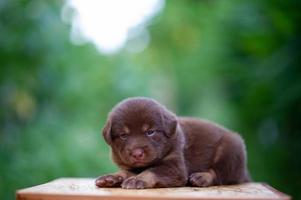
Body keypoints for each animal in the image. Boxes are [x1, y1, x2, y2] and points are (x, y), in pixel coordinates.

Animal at [95, 97, 250, 188]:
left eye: (150, 132)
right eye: (123, 135)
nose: (137, 154)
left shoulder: (175, 167)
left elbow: (151, 171)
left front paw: (137, 180)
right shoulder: (129, 166)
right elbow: (125, 171)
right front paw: (111, 177)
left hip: (232, 149)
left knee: (221, 174)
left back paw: (201, 177)